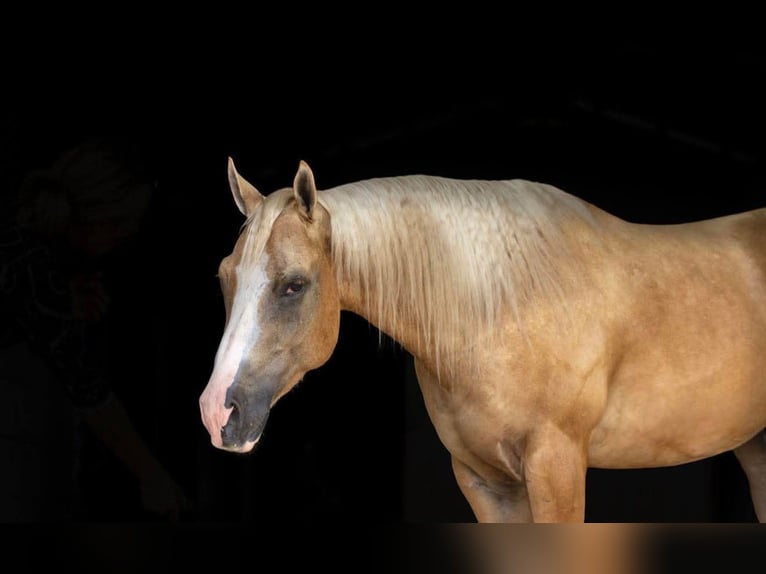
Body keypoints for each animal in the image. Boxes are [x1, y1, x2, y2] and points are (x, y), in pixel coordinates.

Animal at [199, 157, 766, 522]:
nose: (217, 411)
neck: (504, 302)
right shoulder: (485, 482)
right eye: (223, 276)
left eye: (294, 284)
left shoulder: (557, 468)